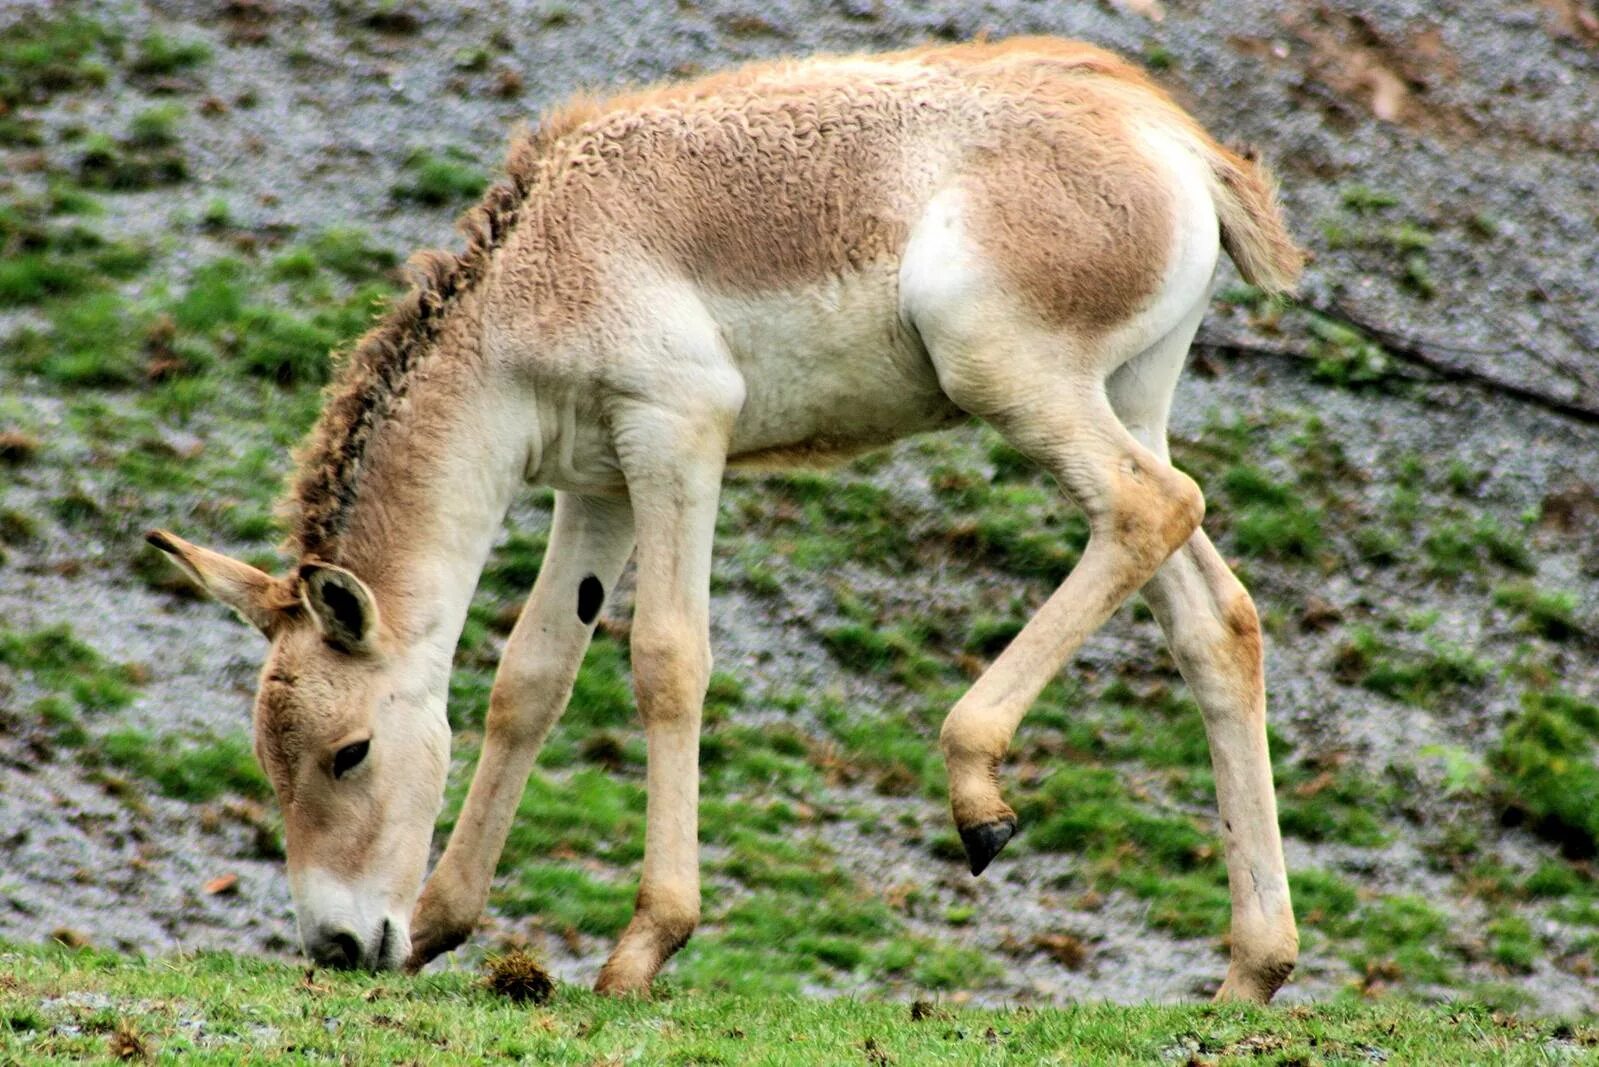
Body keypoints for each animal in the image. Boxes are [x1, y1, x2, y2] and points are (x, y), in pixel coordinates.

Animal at [147, 35, 1298, 1004]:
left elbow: (665, 660)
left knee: (1153, 506)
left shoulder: (676, 435)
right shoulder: (597, 484)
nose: (341, 947)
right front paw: (441, 922)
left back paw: (978, 789)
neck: (541, 266)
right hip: (1127, 398)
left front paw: (643, 946)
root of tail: (1173, 138)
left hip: (1007, 372)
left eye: (348, 752)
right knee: (1216, 616)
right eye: (268, 760)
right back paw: (1253, 971)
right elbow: (529, 682)